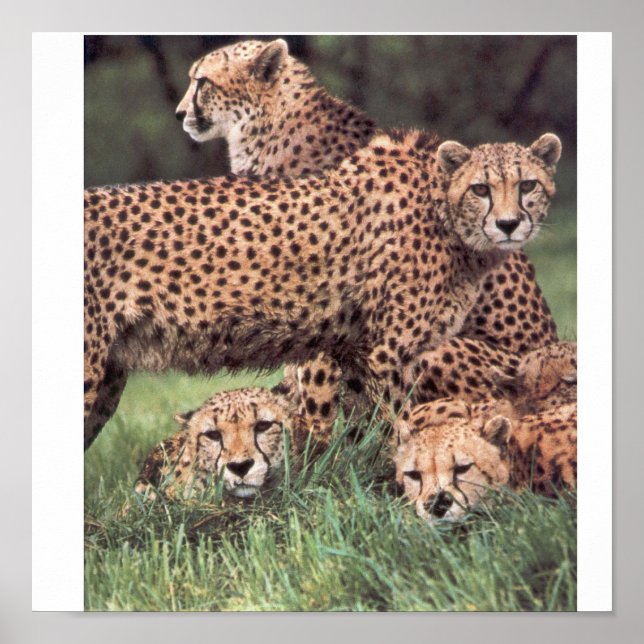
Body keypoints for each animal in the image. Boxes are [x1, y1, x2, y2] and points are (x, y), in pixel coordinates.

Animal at [84, 127, 562, 450]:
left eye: (527, 184)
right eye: (480, 188)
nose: (508, 224)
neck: (444, 214)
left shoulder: (350, 350)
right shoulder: (386, 353)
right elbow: (393, 423)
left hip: (107, 378)